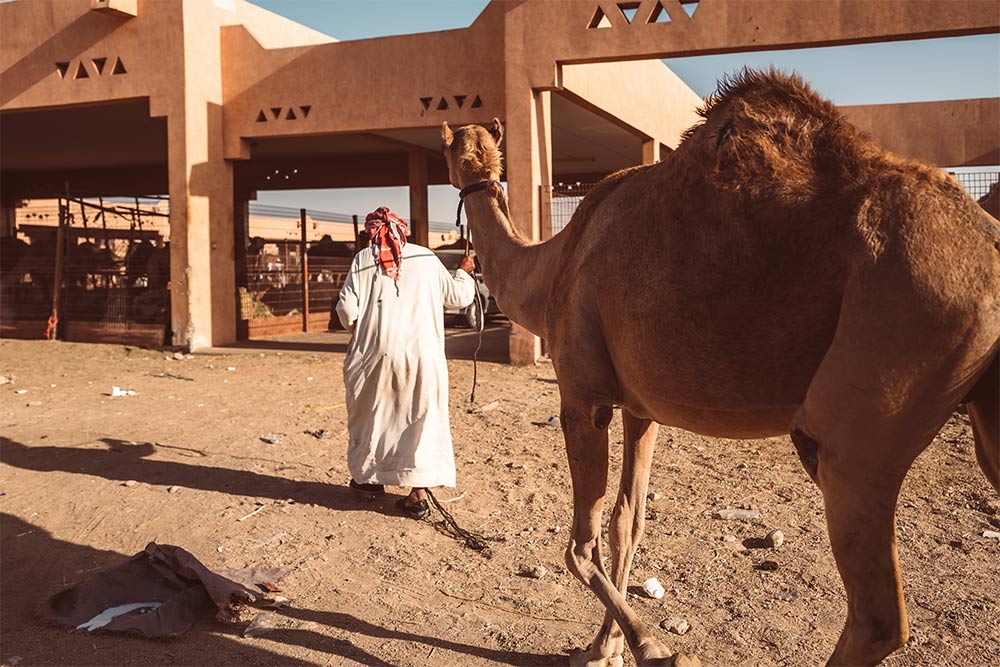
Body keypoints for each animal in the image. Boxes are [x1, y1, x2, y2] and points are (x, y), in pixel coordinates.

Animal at [444, 68, 1000, 667]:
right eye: (467, 151)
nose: (473, 171)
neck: (551, 268)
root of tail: (990, 244)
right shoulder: (641, 408)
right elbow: (626, 524)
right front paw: (605, 645)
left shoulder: (582, 395)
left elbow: (580, 544)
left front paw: (649, 646)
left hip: (898, 346)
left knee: (877, 612)